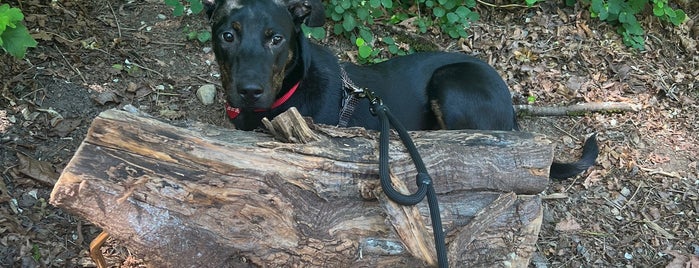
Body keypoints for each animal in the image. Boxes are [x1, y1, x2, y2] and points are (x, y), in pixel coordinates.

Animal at [201, 0, 596, 180]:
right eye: (228, 35)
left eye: (276, 39)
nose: (249, 90)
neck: (292, 86)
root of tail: (512, 109)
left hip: (451, 83)